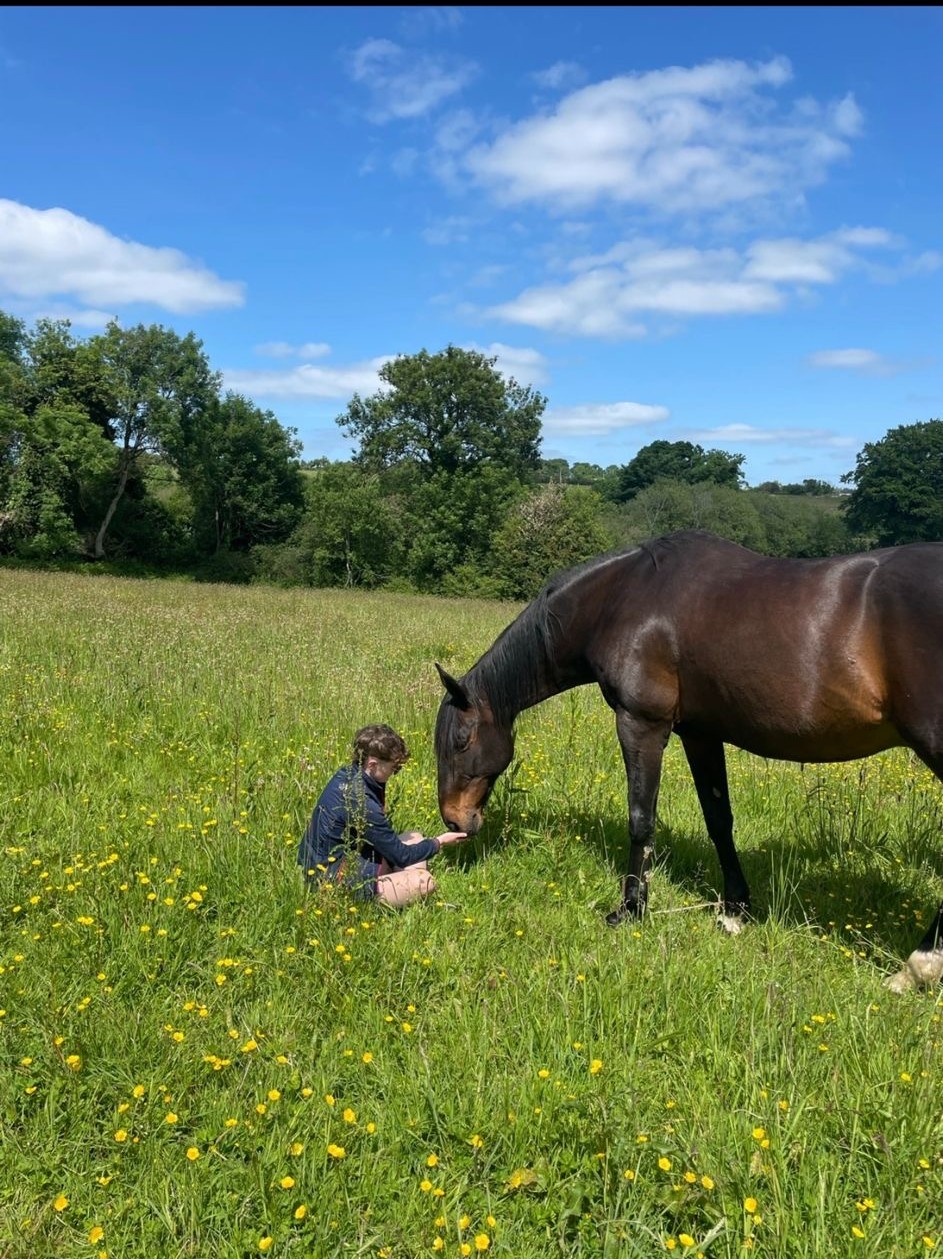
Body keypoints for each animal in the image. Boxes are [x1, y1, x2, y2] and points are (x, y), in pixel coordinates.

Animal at [433, 529, 943, 994]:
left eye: (460, 740)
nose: (454, 819)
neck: (621, 598)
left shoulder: (641, 724)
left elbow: (641, 819)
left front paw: (631, 909)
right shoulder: (700, 733)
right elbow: (719, 819)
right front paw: (735, 910)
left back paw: (917, 967)